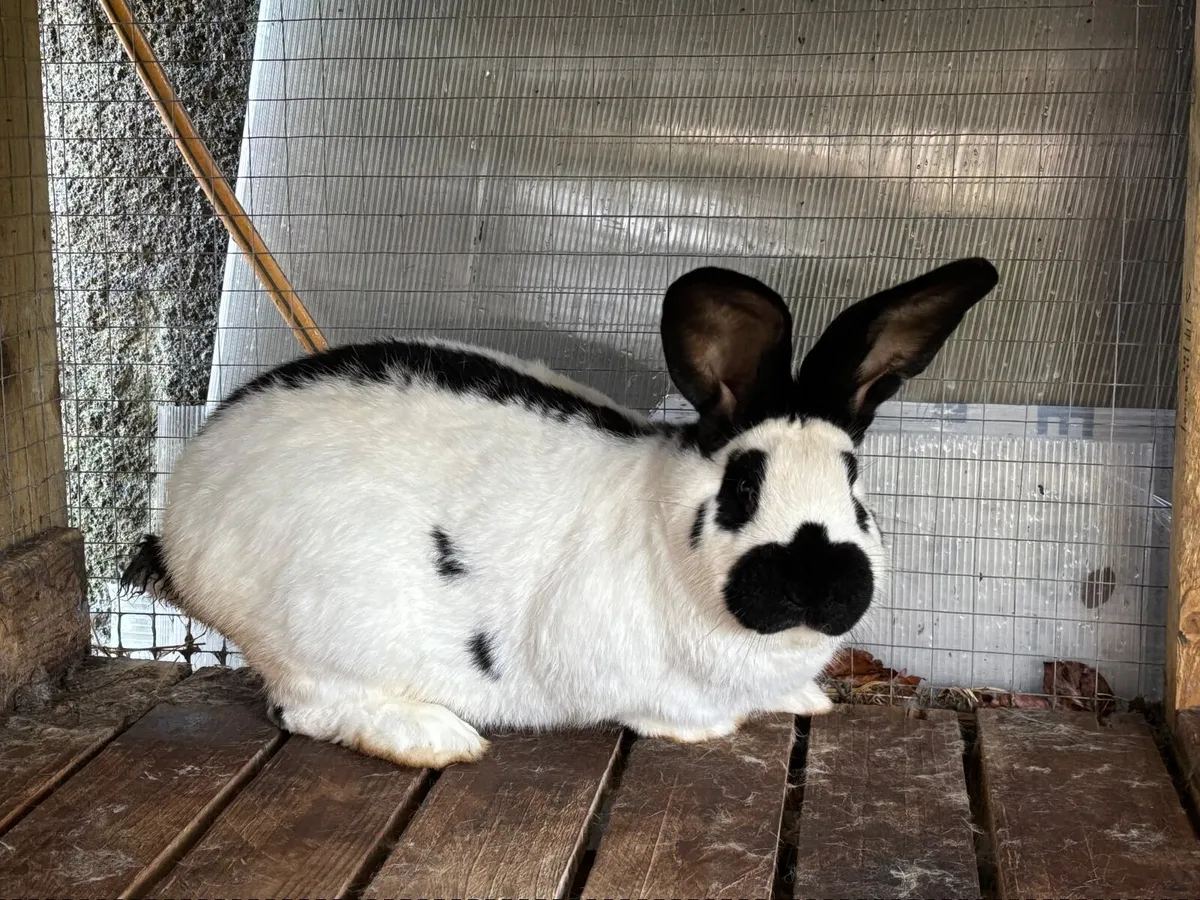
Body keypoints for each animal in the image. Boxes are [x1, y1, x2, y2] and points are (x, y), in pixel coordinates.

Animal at [121, 257, 998, 768]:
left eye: (856, 489)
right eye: (743, 489)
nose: (822, 586)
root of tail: (187, 503)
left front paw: (805, 699)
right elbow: (670, 714)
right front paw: (708, 731)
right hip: (321, 628)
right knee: (308, 708)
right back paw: (434, 739)